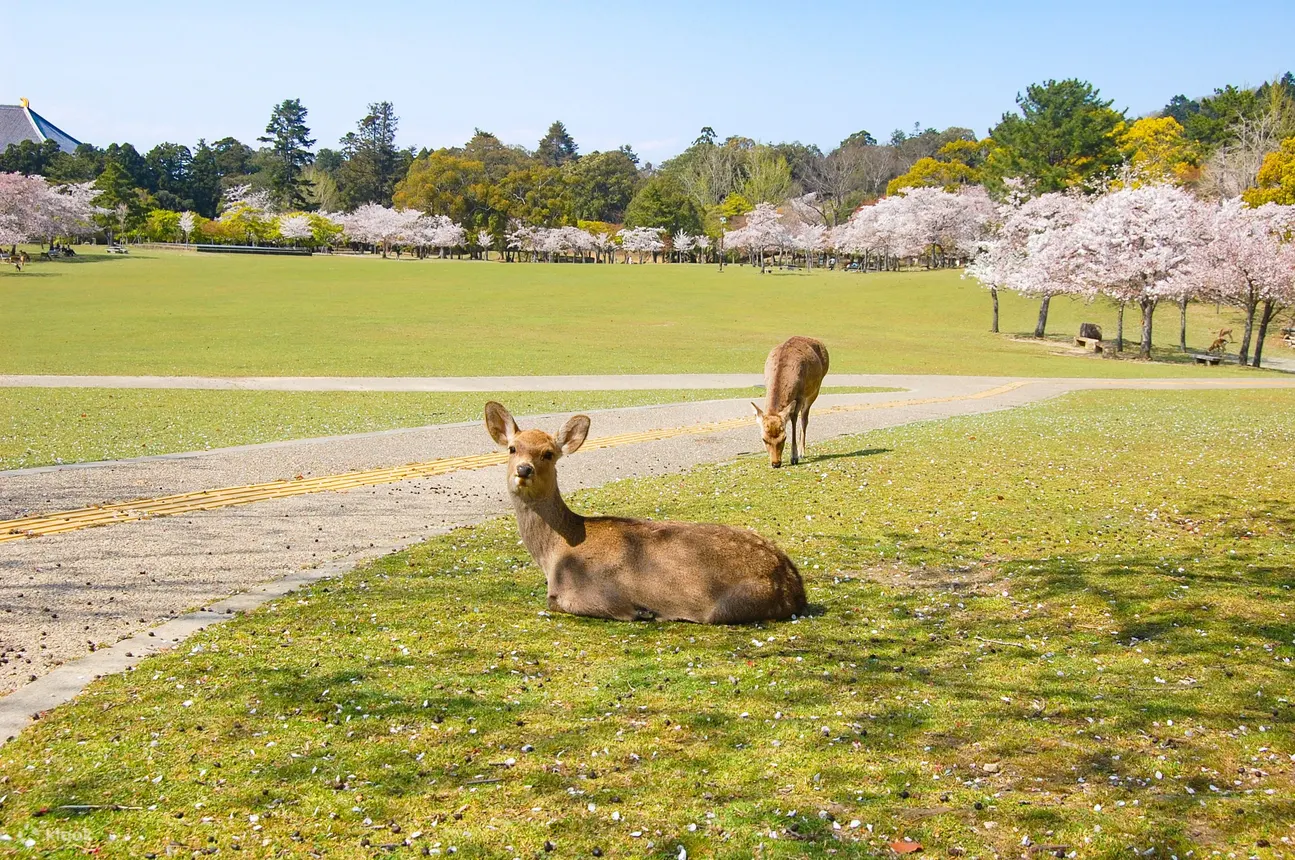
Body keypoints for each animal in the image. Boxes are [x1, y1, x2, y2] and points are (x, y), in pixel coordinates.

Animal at [486, 404, 808, 624]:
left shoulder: (584, 593)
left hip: (731, 603)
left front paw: (642, 612)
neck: (554, 554)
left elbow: (559, 602)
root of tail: (795, 588)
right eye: (512, 448)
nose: (523, 469)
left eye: (548, 453)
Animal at [751, 336, 828, 471]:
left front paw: (794, 457)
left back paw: (802, 452)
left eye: (784, 437)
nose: (776, 463)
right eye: (764, 439)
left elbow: (793, 419)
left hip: (815, 391)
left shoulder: (801, 395)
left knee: (804, 419)